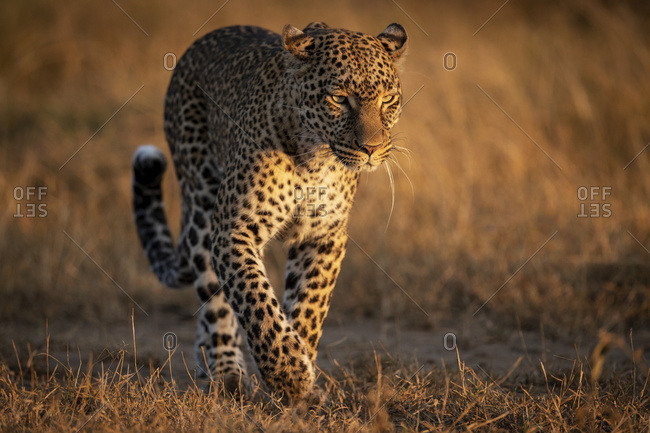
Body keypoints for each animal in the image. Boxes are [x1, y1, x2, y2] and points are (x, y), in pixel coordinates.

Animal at [132, 21, 408, 401]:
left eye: (388, 100)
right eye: (339, 99)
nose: (372, 148)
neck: (314, 158)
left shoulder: (324, 235)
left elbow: (309, 305)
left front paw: (301, 380)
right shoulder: (234, 229)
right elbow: (256, 300)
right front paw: (289, 375)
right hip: (202, 206)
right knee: (215, 302)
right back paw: (226, 372)